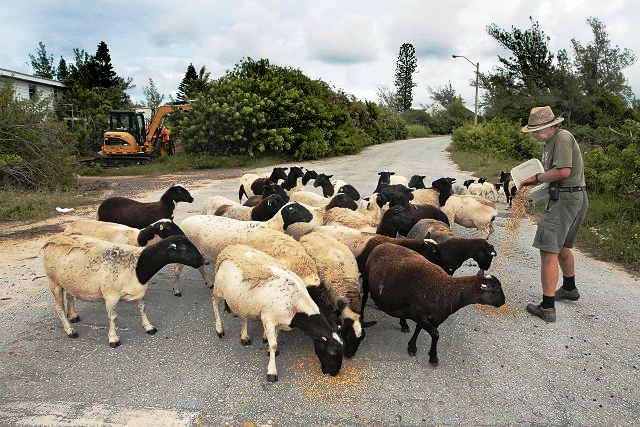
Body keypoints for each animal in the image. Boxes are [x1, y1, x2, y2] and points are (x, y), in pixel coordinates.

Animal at [41, 234, 205, 348]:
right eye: (183, 249)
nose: (202, 261)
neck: (138, 265)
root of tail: (53, 238)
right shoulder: (110, 295)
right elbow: (113, 318)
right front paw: (113, 339)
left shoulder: (139, 291)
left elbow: (142, 309)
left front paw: (149, 327)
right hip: (53, 281)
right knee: (59, 307)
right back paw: (70, 330)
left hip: (69, 280)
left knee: (70, 296)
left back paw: (73, 315)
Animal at [212, 246, 344, 382]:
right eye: (332, 353)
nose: (334, 373)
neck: (296, 302)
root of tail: (230, 250)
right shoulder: (268, 319)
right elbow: (274, 344)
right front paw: (272, 371)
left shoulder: (280, 322)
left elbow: (275, 337)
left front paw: (271, 351)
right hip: (218, 290)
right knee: (215, 305)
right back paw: (219, 330)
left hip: (242, 302)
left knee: (243, 317)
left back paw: (244, 337)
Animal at [360, 242, 504, 366]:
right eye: (496, 289)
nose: (503, 302)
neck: (449, 292)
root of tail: (383, 244)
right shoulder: (418, 314)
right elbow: (435, 334)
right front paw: (433, 357)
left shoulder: (432, 318)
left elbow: (419, 329)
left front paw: (412, 346)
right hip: (366, 280)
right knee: (364, 298)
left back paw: (404, 324)